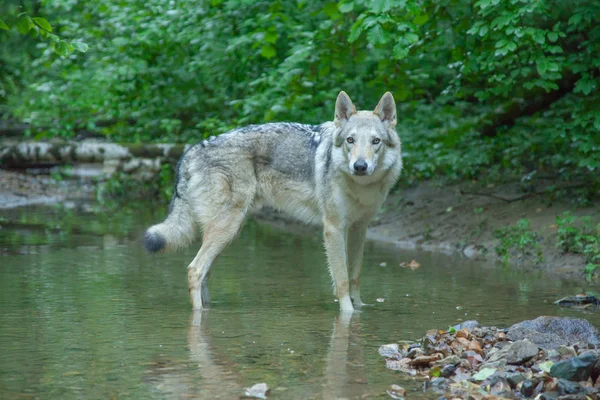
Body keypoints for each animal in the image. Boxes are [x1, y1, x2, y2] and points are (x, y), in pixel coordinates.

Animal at [142, 91, 400, 312]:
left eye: (376, 141)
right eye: (350, 140)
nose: (360, 166)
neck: (362, 188)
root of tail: (190, 151)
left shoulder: (359, 228)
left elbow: (355, 276)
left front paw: (360, 310)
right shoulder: (334, 229)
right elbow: (342, 279)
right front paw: (348, 315)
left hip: (228, 234)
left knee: (204, 274)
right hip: (226, 229)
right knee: (194, 270)